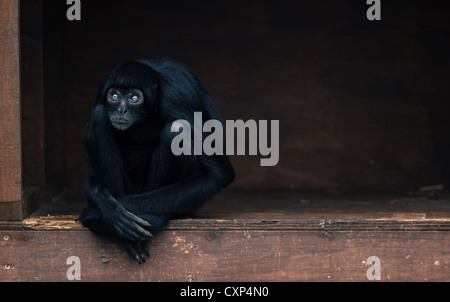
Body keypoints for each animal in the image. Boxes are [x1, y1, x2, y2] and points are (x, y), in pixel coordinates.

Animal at [80, 57, 234, 264]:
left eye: (134, 98)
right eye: (114, 95)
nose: (121, 109)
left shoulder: (178, 98)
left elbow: (217, 174)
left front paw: (105, 210)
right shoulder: (102, 91)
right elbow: (93, 184)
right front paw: (107, 206)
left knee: (175, 130)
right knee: (99, 116)